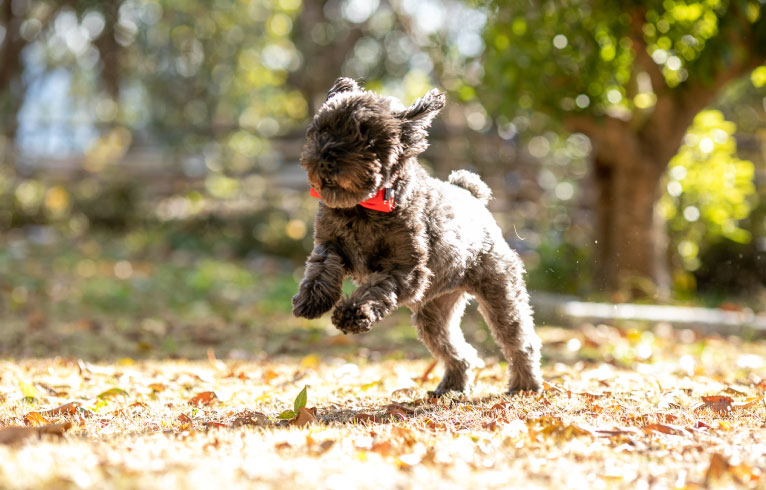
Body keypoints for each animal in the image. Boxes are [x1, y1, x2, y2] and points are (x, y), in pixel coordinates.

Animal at [292, 79, 544, 394]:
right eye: (324, 130)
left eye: (368, 139)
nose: (326, 159)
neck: (363, 207)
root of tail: (471, 194)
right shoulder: (330, 244)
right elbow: (321, 266)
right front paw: (312, 298)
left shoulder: (408, 270)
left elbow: (377, 289)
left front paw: (354, 313)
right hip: (433, 314)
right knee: (459, 350)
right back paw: (452, 386)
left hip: (500, 294)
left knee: (520, 341)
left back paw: (525, 385)